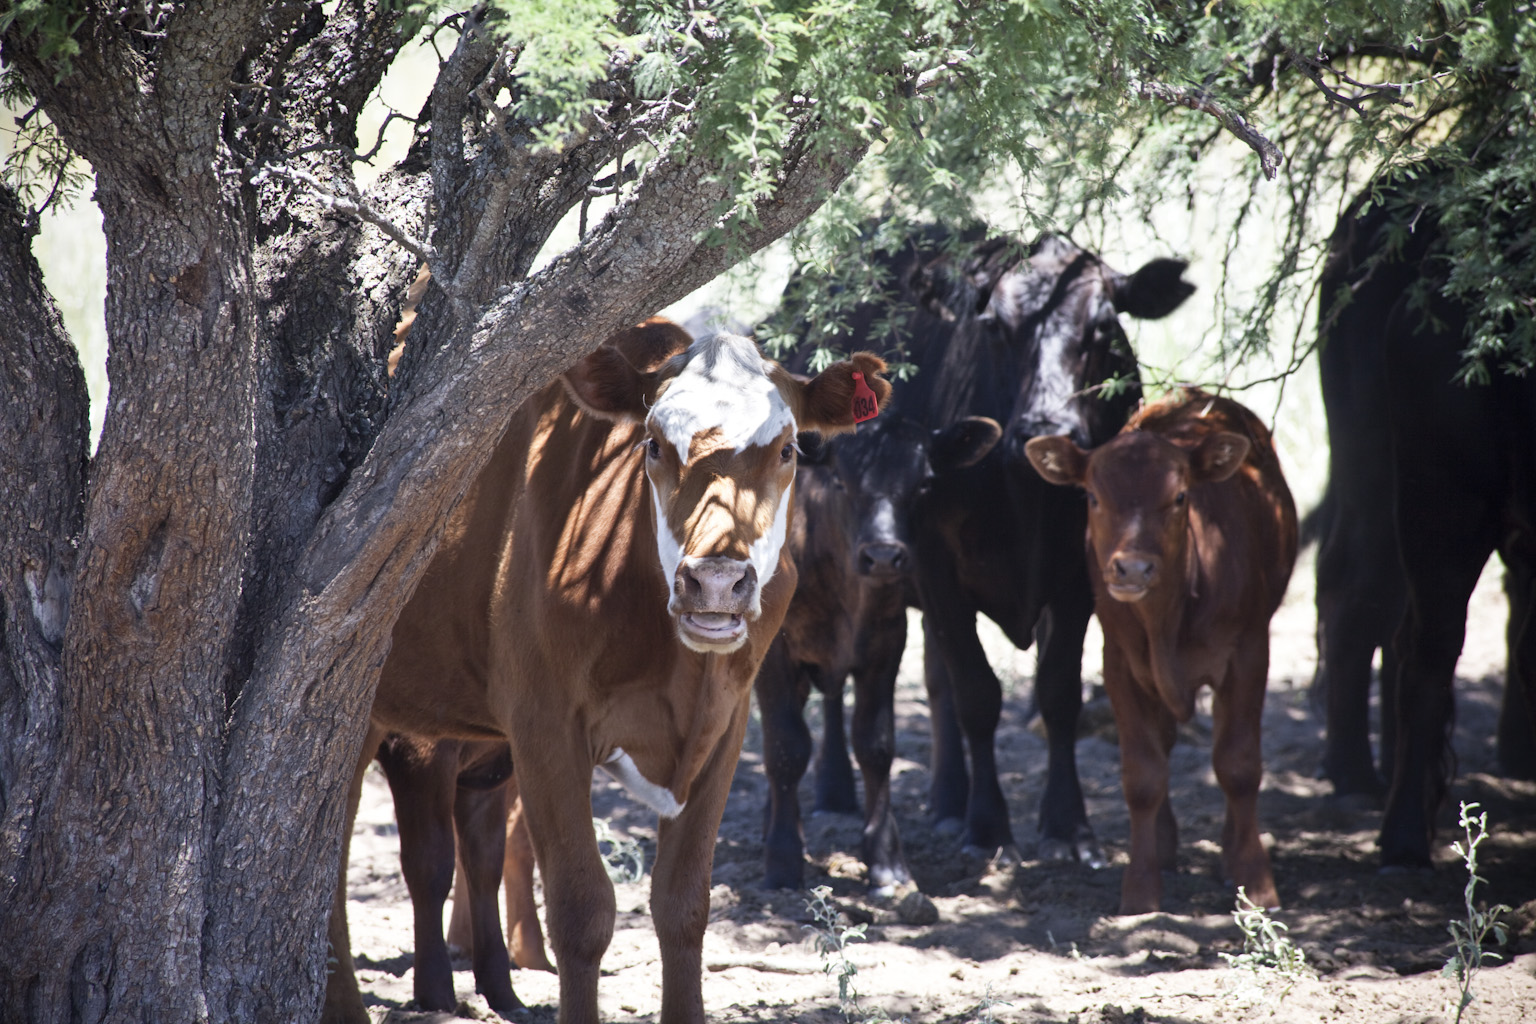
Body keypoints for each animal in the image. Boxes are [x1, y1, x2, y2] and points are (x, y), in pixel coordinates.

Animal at [328, 320, 897, 1024]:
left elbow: (683, 903)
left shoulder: (728, 726)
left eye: (789, 449)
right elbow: (582, 910)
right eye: (652, 445)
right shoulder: (544, 727)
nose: (716, 582)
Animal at [752, 411, 995, 890]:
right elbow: (786, 748)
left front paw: (886, 861)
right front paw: (783, 862)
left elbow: (875, 745)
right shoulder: (774, 656)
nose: (883, 556)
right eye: (840, 481)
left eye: (923, 484)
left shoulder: (885, 645)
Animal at [1032, 389, 1296, 914]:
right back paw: (1166, 844)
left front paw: (1255, 882)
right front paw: (1140, 889)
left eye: (1179, 497)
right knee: (1166, 744)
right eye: (1093, 497)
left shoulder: (1250, 651)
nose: (1132, 569)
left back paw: (1229, 852)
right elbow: (1143, 775)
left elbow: (1238, 764)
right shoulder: (1119, 662)